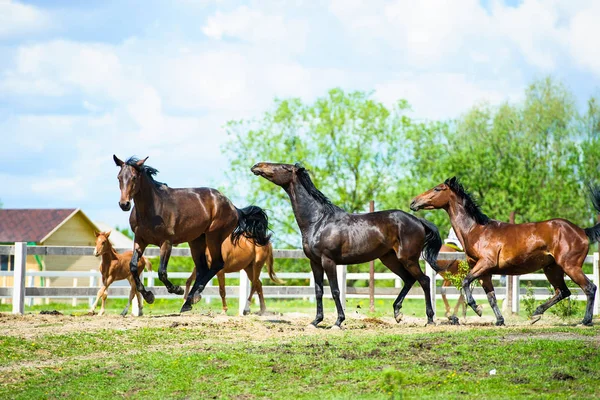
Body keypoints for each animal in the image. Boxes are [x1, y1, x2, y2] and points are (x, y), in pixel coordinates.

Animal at [112, 155, 270, 310]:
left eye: (134, 177)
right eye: (119, 177)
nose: (124, 204)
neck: (152, 209)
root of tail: (234, 208)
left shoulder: (166, 242)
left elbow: (162, 272)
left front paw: (177, 289)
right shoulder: (140, 240)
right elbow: (133, 267)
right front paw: (149, 296)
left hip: (213, 237)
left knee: (217, 264)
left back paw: (192, 297)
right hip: (196, 241)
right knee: (202, 269)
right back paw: (189, 301)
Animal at [251, 162, 442, 328]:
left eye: (284, 167)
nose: (257, 166)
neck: (318, 221)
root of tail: (418, 221)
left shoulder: (328, 261)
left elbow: (335, 291)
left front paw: (338, 322)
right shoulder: (315, 263)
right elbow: (318, 291)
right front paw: (315, 321)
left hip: (408, 259)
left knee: (424, 280)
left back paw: (430, 319)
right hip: (389, 259)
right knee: (409, 280)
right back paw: (398, 314)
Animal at [412, 177, 600, 324]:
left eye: (437, 188)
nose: (413, 202)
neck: (476, 230)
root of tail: (582, 231)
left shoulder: (485, 264)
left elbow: (465, 282)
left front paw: (477, 308)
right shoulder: (485, 273)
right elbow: (491, 297)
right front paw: (499, 320)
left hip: (570, 266)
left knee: (589, 288)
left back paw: (585, 320)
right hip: (552, 269)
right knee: (563, 291)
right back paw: (536, 314)